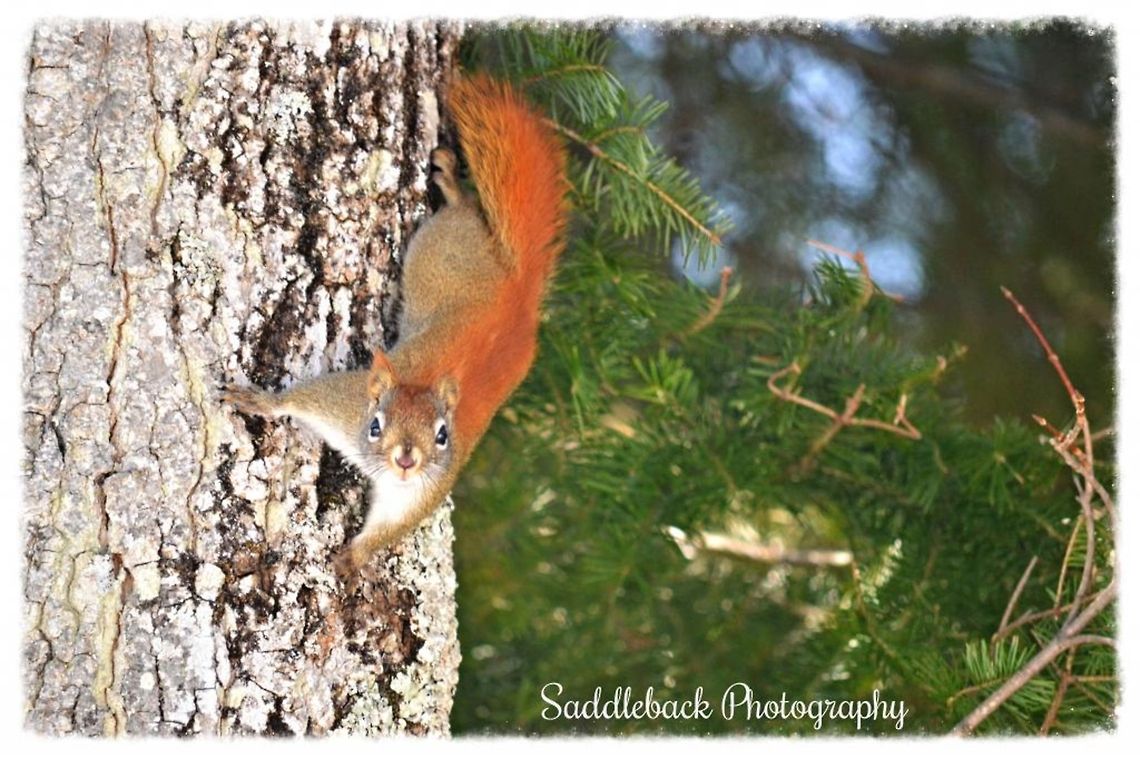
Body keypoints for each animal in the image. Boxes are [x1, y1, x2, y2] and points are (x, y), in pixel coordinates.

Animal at [221, 75, 569, 575]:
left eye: (443, 435)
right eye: (375, 426)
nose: (407, 460)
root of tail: (521, 293)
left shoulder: (425, 490)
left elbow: (388, 528)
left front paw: (354, 559)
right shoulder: (343, 406)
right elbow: (299, 399)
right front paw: (261, 402)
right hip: (442, 249)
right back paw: (455, 187)